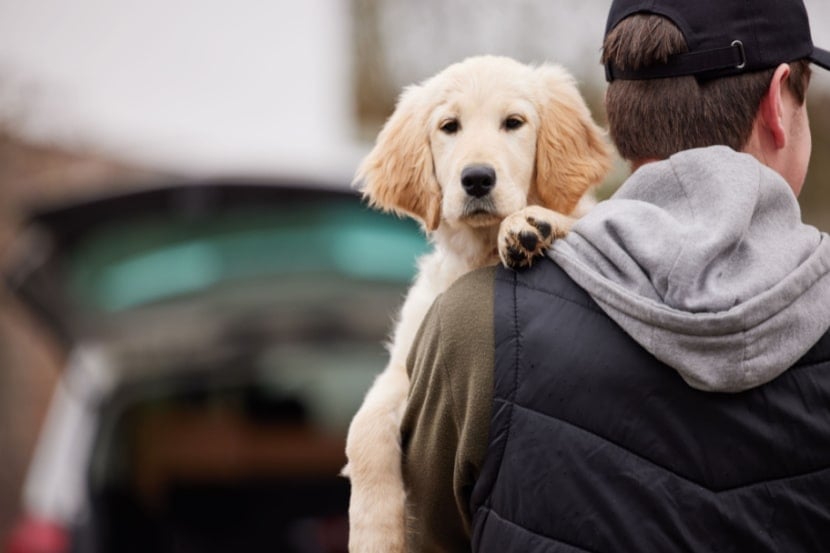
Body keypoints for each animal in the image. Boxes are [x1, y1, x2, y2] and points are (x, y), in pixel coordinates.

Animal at [344, 55, 612, 548]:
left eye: (514, 123)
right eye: (449, 126)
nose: (477, 178)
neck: (479, 253)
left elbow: (580, 218)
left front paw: (532, 224)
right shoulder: (404, 366)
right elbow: (362, 431)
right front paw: (375, 537)